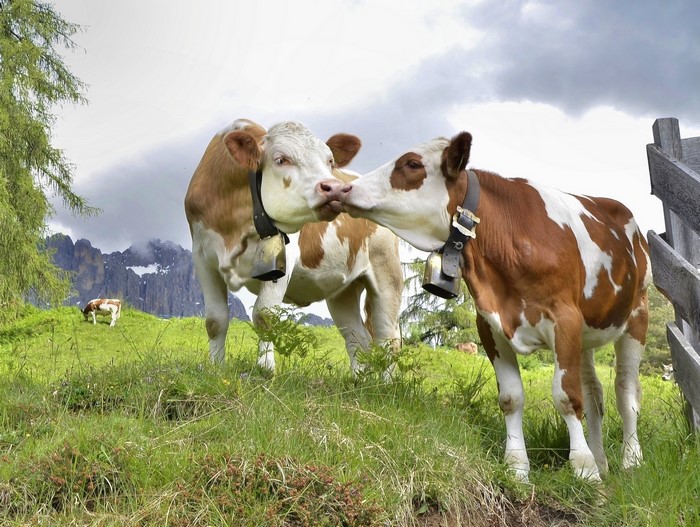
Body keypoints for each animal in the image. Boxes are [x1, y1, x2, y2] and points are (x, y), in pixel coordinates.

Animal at [184, 119, 402, 376]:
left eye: (330, 161)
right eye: (281, 160)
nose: (335, 188)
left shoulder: (283, 256)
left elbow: (265, 314)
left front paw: (265, 369)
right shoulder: (202, 257)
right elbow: (215, 320)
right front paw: (216, 368)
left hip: (387, 273)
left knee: (388, 340)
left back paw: (386, 383)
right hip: (343, 291)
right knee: (357, 338)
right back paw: (359, 379)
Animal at [340, 131, 651, 482]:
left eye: (412, 164)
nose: (345, 188)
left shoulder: (564, 319)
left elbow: (567, 396)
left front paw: (584, 469)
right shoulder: (490, 324)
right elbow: (511, 397)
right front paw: (518, 468)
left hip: (636, 317)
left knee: (626, 393)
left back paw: (630, 461)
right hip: (586, 335)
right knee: (595, 393)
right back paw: (602, 460)